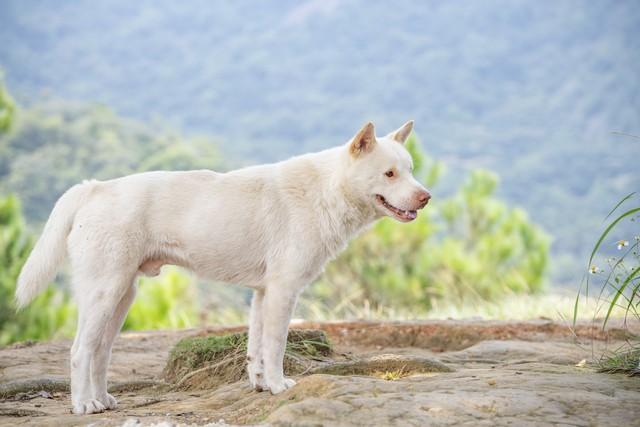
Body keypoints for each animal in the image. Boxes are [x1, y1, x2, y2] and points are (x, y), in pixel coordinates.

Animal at [16, 120, 430, 414]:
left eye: (410, 169)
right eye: (390, 173)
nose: (426, 197)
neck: (327, 190)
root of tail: (94, 187)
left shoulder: (263, 294)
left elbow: (256, 348)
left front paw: (262, 385)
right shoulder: (283, 291)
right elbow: (276, 346)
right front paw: (279, 386)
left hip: (122, 296)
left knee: (100, 352)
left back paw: (102, 401)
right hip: (105, 292)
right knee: (79, 351)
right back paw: (83, 405)